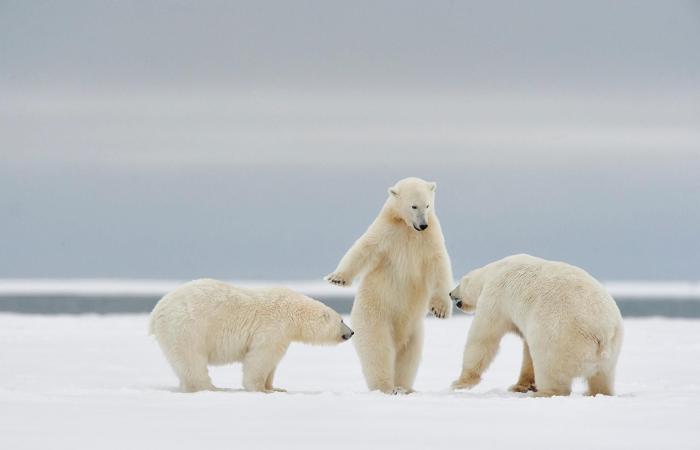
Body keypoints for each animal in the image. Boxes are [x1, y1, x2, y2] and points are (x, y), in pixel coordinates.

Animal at [150, 280, 352, 392]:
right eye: (341, 320)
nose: (351, 332)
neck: (293, 311)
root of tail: (156, 311)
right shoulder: (273, 327)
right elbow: (261, 357)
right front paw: (261, 389)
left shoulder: (283, 335)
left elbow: (273, 362)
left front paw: (276, 387)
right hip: (187, 327)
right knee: (192, 360)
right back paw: (211, 387)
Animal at [326, 176, 452, 394]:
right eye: (413, 205)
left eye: (428, 205)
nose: (423, 225)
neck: (408, 229)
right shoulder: (387, 232)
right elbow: (364, 248)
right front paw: (337, 278)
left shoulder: (430, 239)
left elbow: (439, 266)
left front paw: (440, 310)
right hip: (376, 316)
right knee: (378, 349)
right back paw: (387, 387)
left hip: (414, 330)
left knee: (409, 356)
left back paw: (405, 387)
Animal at [448, 255, 624, 396]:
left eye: (459, 284)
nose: (450, 293)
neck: (495, 269)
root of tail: (602, 333)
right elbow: (527, 351)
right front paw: (520, 386)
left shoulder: (496, 296)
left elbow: (483, 336)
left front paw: (459, 383)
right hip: (612, 350)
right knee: (602, 377)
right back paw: (596, 392)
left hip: (561, 337)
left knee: (550, 368)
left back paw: (544, 392)